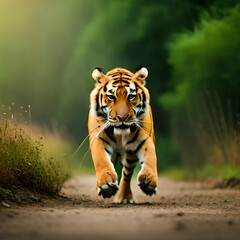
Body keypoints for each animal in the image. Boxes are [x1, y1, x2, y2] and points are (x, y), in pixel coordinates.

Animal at [88, 65, 158, 202]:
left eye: (131, 96)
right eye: (111, 97)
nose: (122, 117)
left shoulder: (144, 139)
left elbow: (151, 156)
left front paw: (149, 180)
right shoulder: (98, 138)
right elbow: (101, 158)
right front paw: (105, 184)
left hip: (130, 155)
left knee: (126, 174)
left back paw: (125, 197)